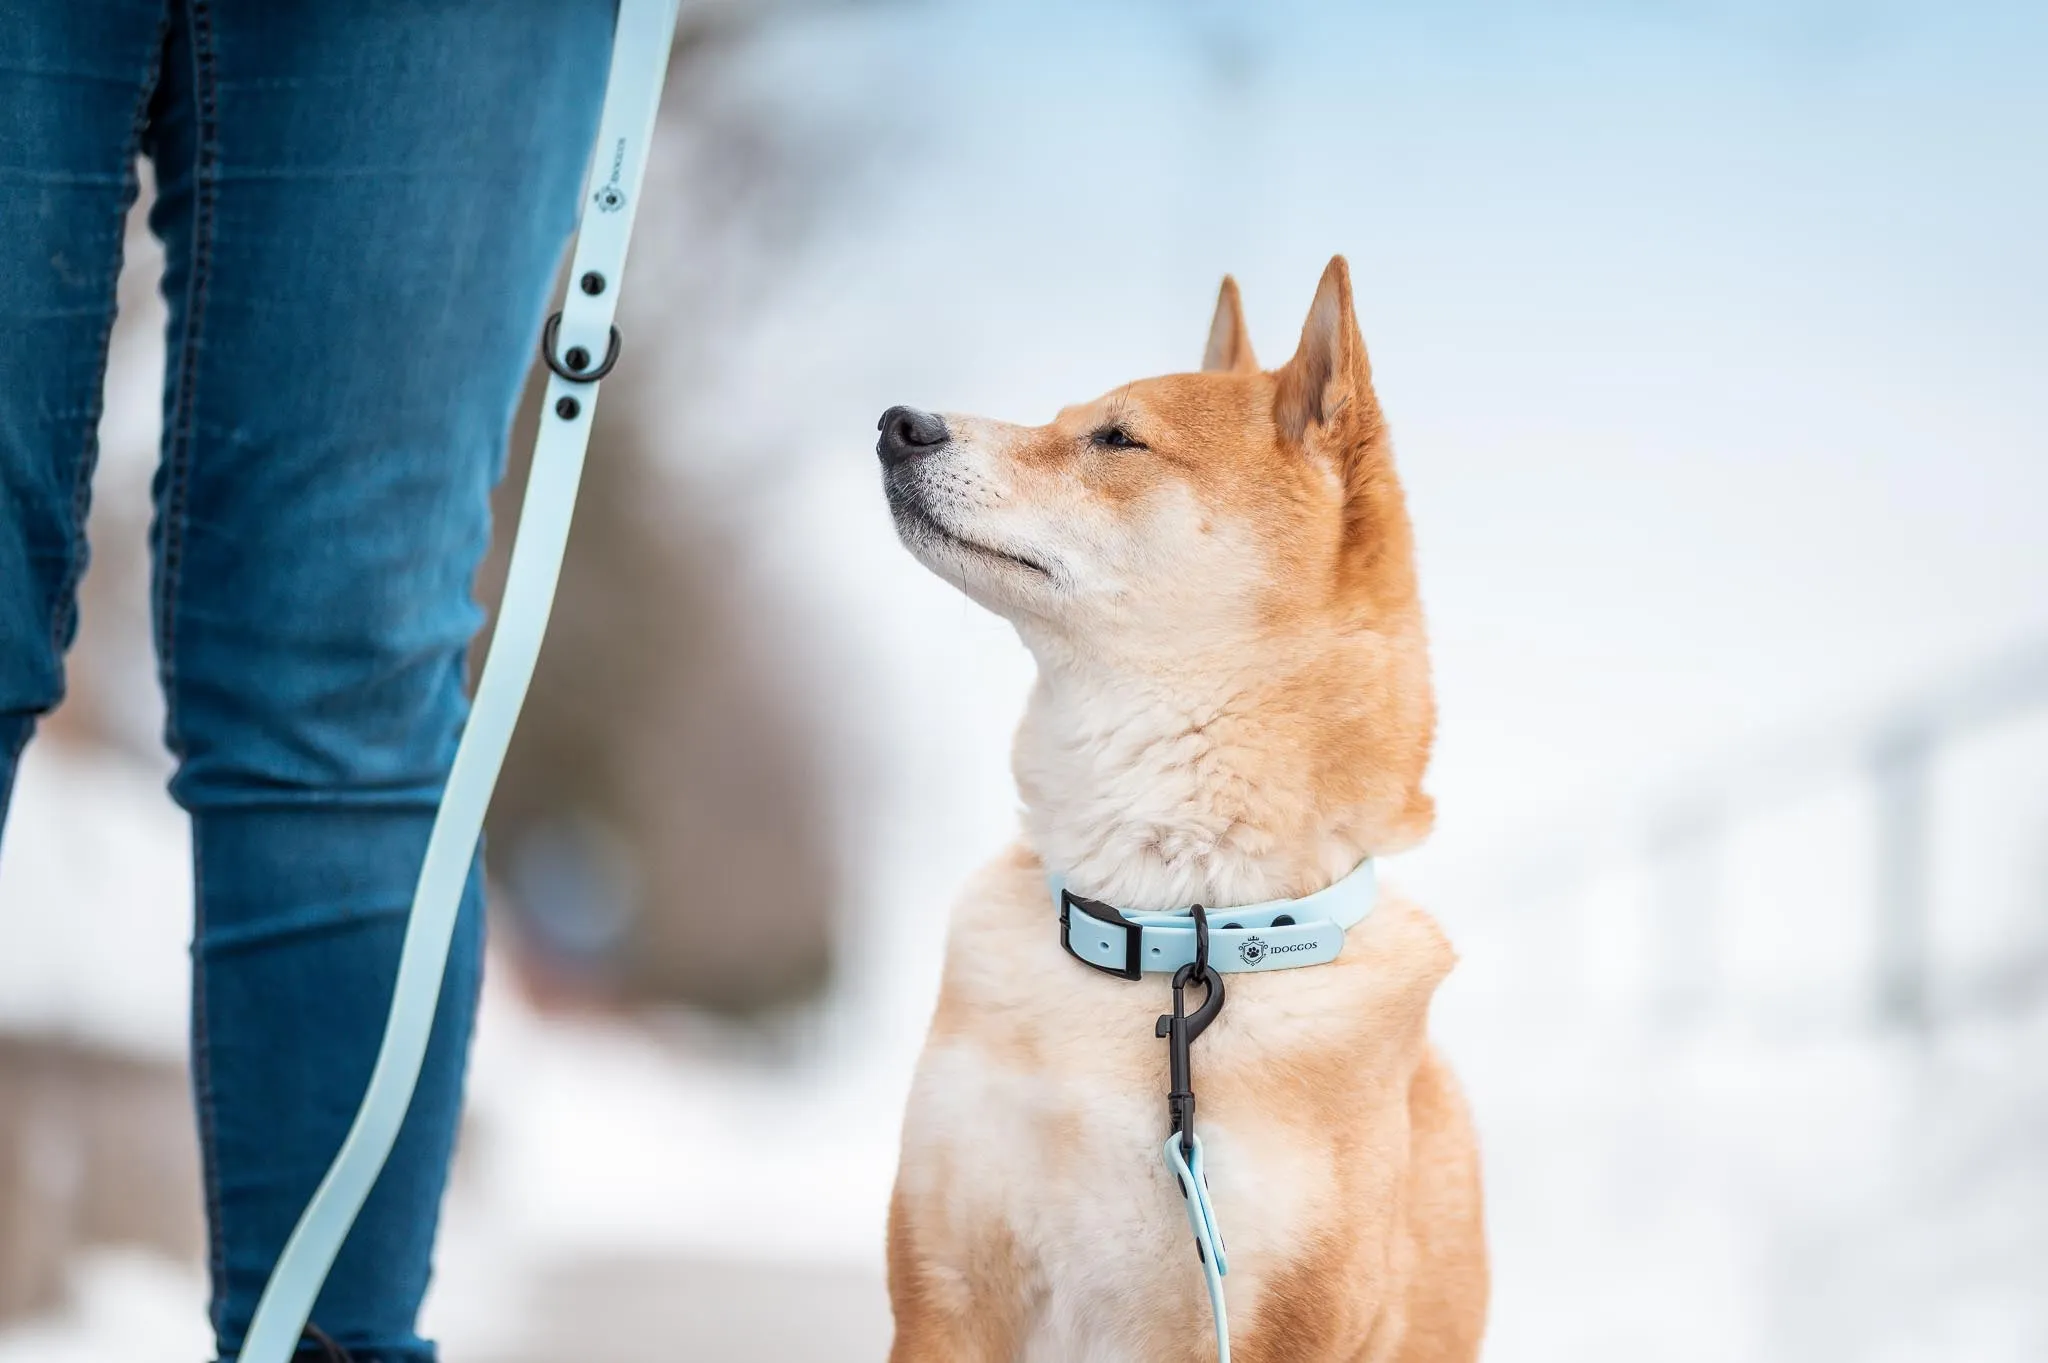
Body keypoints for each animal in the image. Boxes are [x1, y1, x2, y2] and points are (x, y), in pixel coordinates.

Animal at [880, 257, 1490, 1358]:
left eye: (1117, 438)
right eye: (1060, 415)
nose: (898, 423)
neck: (1164, 923)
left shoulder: (1276, 1327)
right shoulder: (945, 1291)